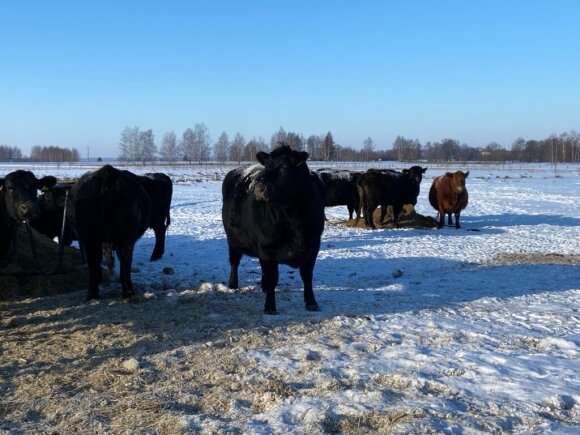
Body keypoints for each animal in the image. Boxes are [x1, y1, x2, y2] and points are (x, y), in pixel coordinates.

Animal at [72, 165, 151, 302]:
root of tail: (107, 173)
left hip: (91, 238)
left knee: (94, 264)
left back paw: (92, 295)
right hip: (126, 236)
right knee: (125, 260)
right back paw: (128, 292)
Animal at [222, 146, 326, 314]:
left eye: (285, 165)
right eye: (267, 166)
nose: (258, 188)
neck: (294, 217)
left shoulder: (314, 244)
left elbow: (307, 275)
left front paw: (311, 302)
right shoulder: (266, 246)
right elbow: (272, 278)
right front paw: (270, 306)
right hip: (233, 240)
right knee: (234, 262)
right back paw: (232, 284)